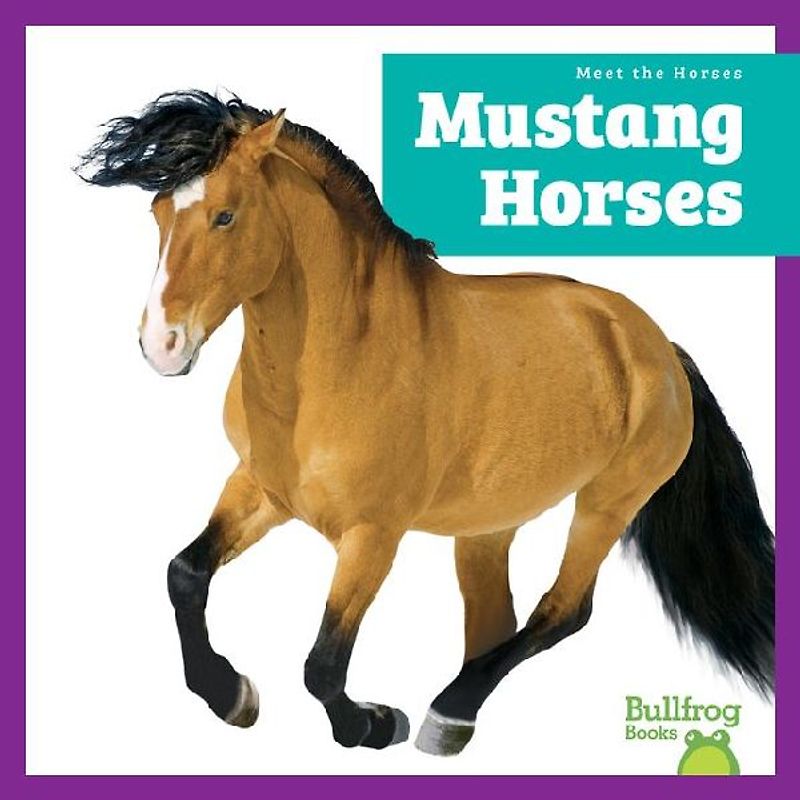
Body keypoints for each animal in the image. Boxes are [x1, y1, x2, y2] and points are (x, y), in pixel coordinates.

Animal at [79, 90, 774, 756]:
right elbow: (185, 575)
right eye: (159, 213)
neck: (340, 363)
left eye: (226, 215)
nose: (162, 346)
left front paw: (373, 724)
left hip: (609, 503)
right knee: (495, 621)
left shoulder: (373, 535)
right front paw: (232, 696)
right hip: (488, 528)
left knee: (563, 610)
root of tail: (658, 346)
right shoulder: (262, 489)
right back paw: (458, 718)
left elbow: (322, 664)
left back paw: (443, 715)